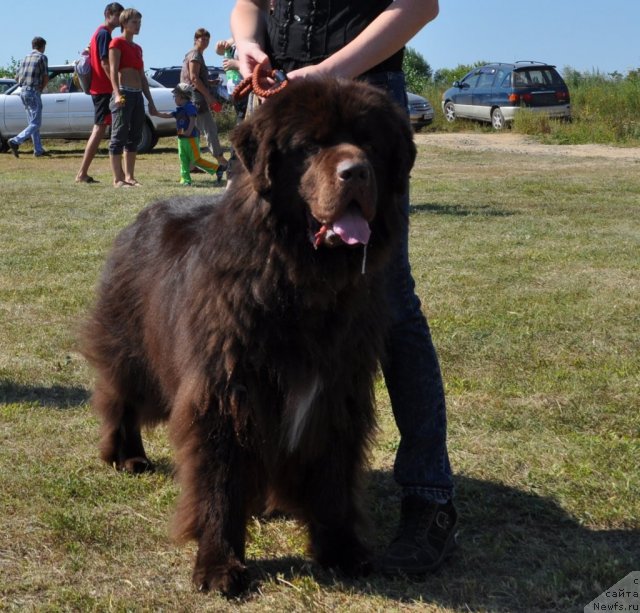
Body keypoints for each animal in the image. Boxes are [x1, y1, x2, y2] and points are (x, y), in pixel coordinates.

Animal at [81, 75, 416, 592]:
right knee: (121, 396)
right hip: (139, 352)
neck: (299, 282)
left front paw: (341, 550)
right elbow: (220, 481)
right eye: (310, 146)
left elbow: (333, 479)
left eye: (371, 145)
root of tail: (140, 216)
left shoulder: (335, 394)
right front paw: (219, 566)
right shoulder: (225, 389)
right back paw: (127, 455)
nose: (356, 172)